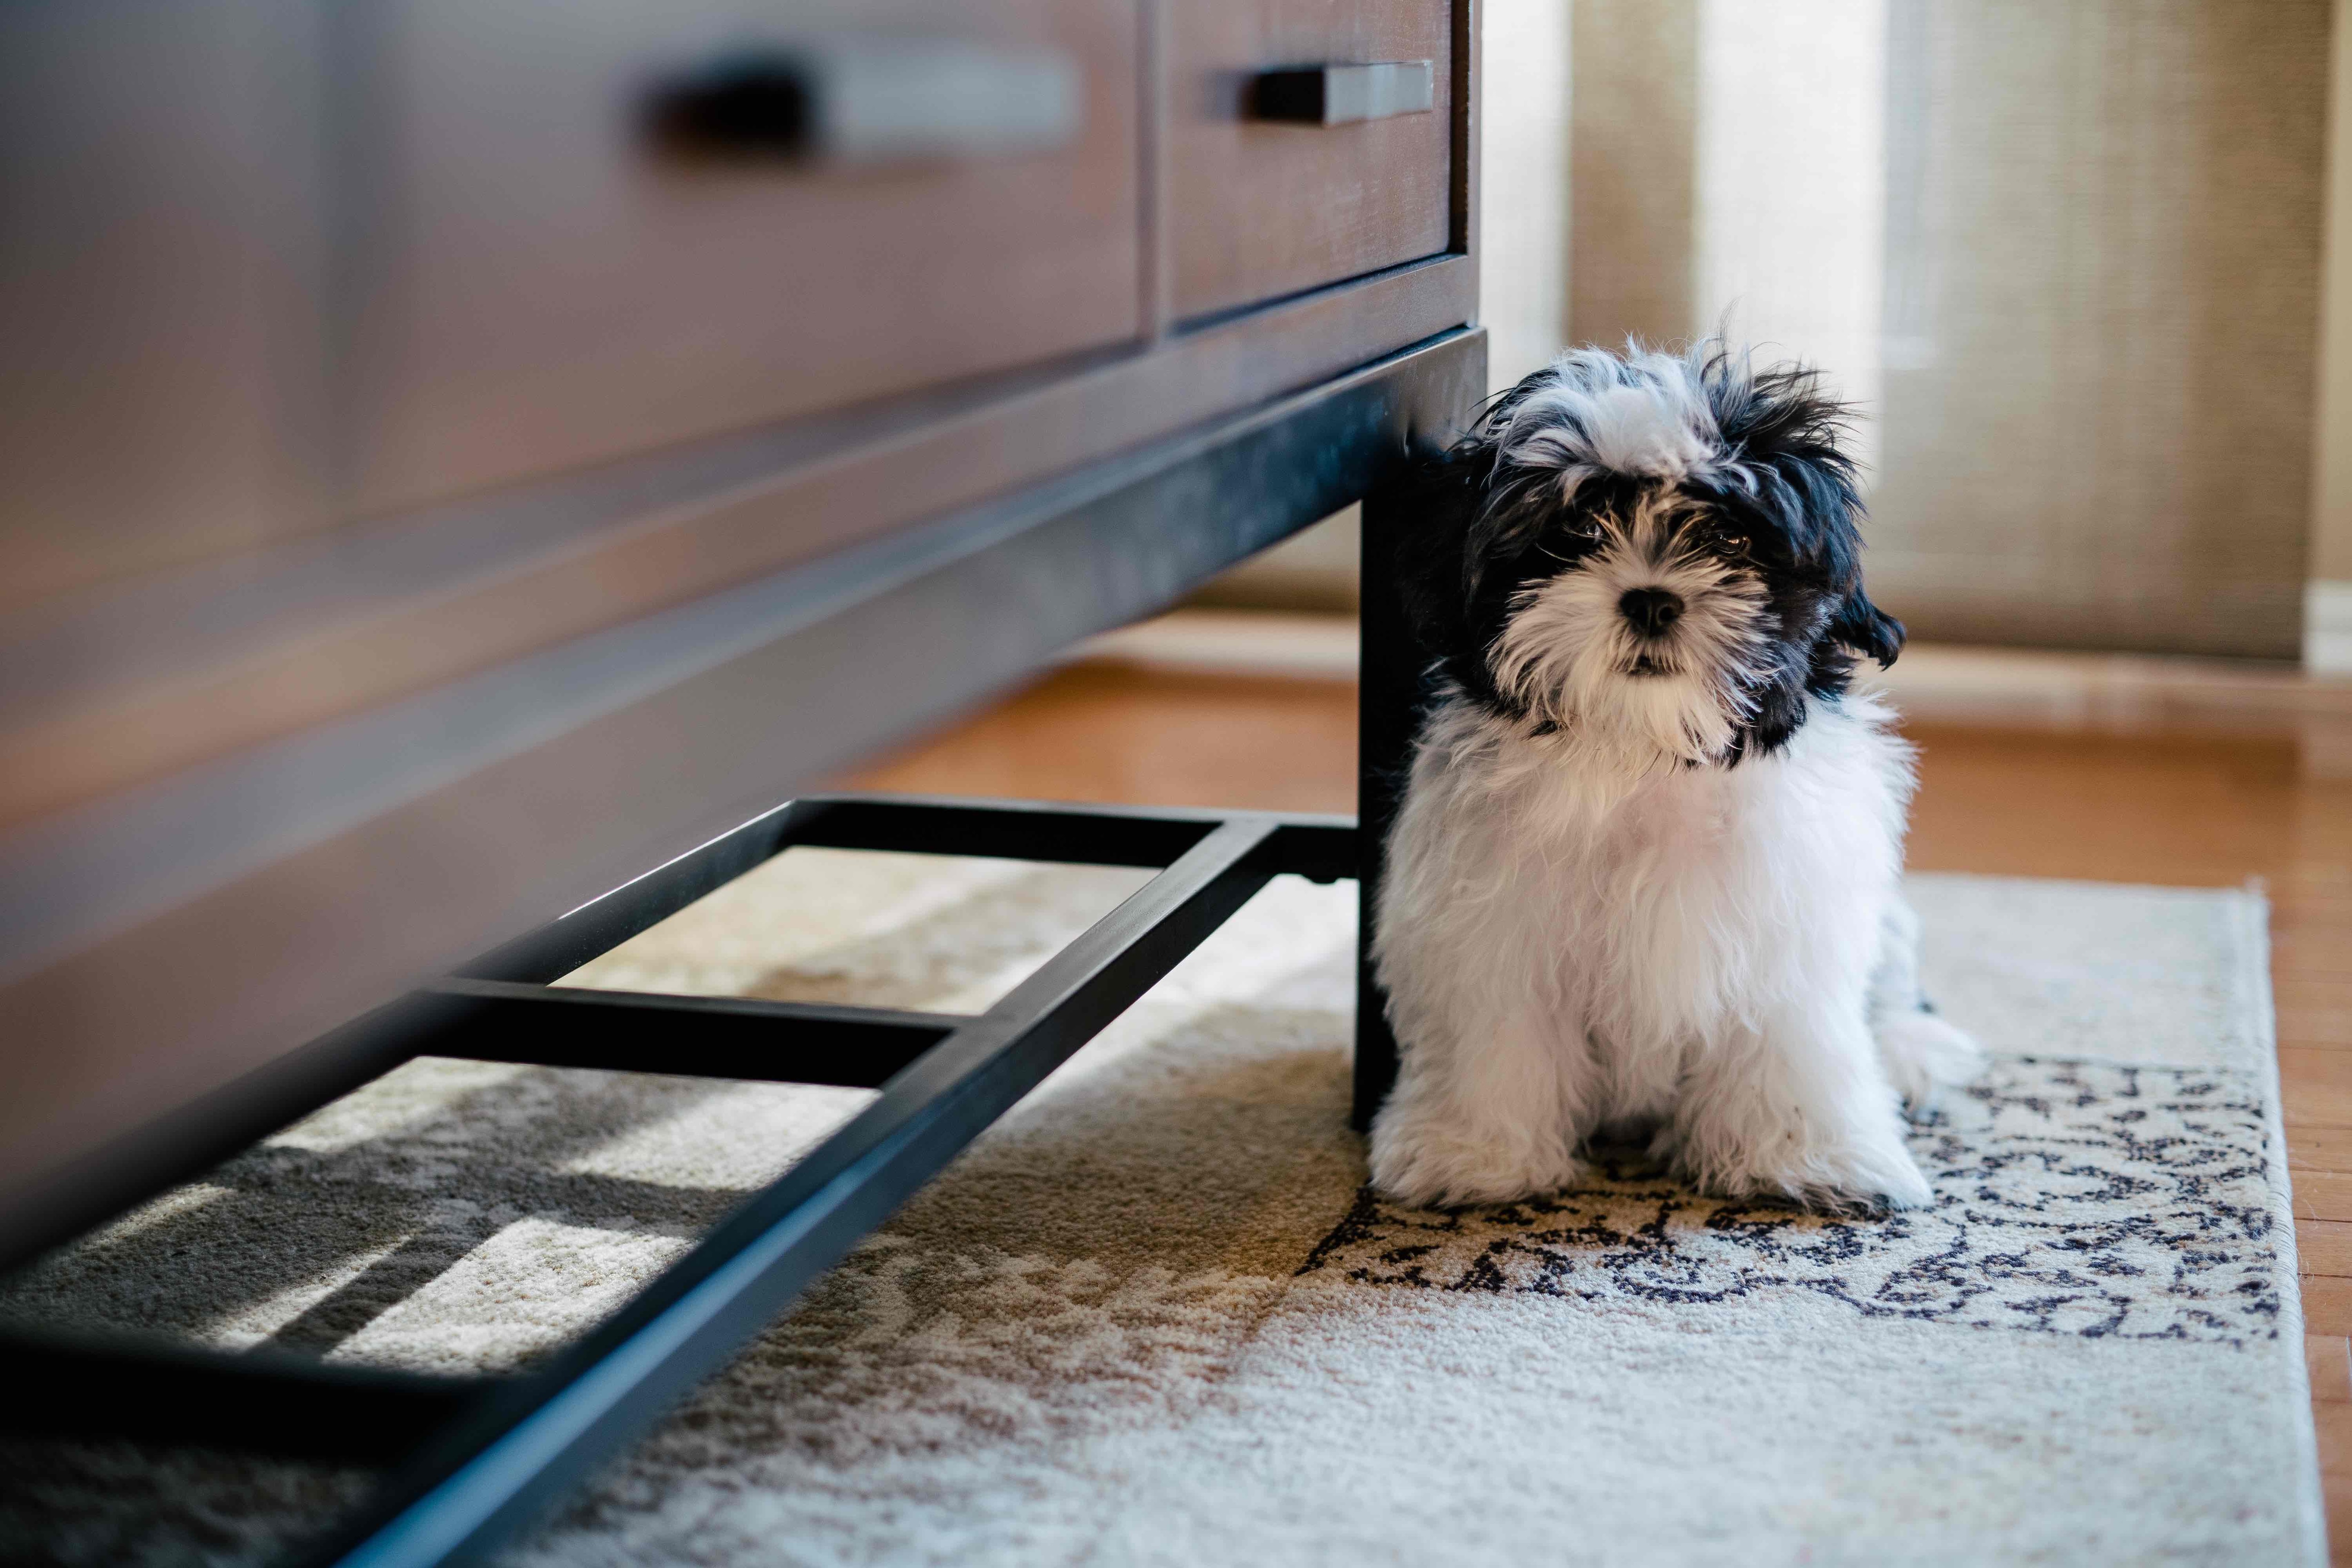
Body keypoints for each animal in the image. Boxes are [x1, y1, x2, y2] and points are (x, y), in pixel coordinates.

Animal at [1374, 343, 1976, 1213]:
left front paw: (1810, 1155)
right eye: (1580, 528)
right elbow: (1496, 1036)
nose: (1652, 599)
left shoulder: (1786, 928)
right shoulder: (1491, 929)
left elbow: (1791, 1044)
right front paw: (1473, 1154)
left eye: (1728, 538)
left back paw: (1911, 1051)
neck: (1644, 757)